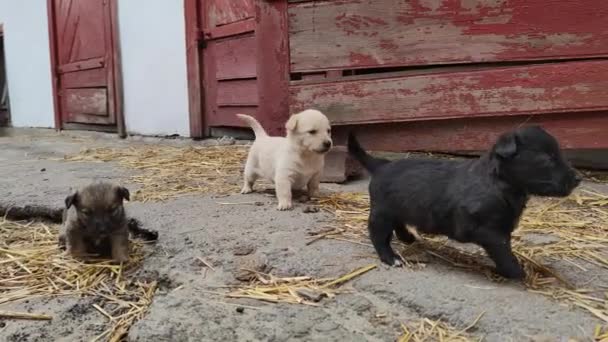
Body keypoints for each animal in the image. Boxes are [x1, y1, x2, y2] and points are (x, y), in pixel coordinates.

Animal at [346, 125, 580, 278]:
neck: (499, 183)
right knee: (378, 235)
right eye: (547, 158)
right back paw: (391, 257)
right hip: (382, 213)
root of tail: (381, 165)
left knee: (399, 224)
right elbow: (503, 250)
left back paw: (408, 238)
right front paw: (516, 271)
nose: (578, 178)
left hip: (399, 207)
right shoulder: (485, 230)